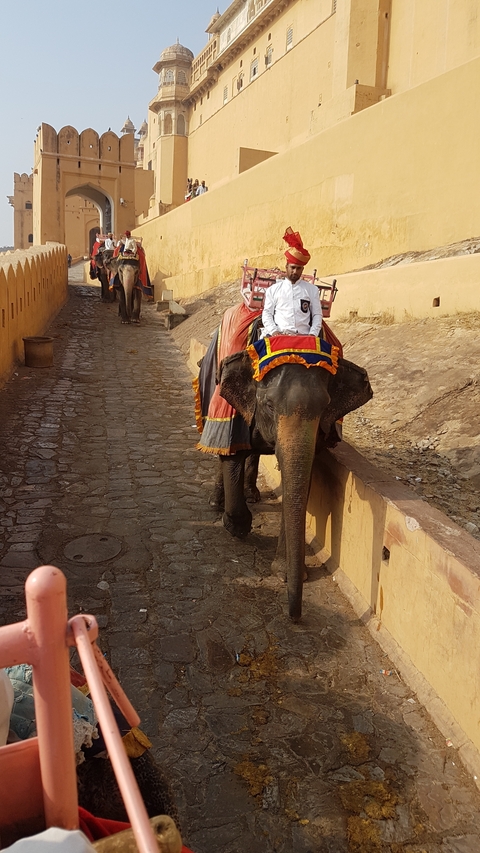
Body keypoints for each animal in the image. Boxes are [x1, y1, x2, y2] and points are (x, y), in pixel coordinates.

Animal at [217, 351, 373, 621]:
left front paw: (286, 575)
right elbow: (233, 451)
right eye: (269, 405)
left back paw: (252, 494)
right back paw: (217, 503)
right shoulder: (237, 412)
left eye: (325, 407)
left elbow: (302, 483)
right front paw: (237, 527)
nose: (295, 616)